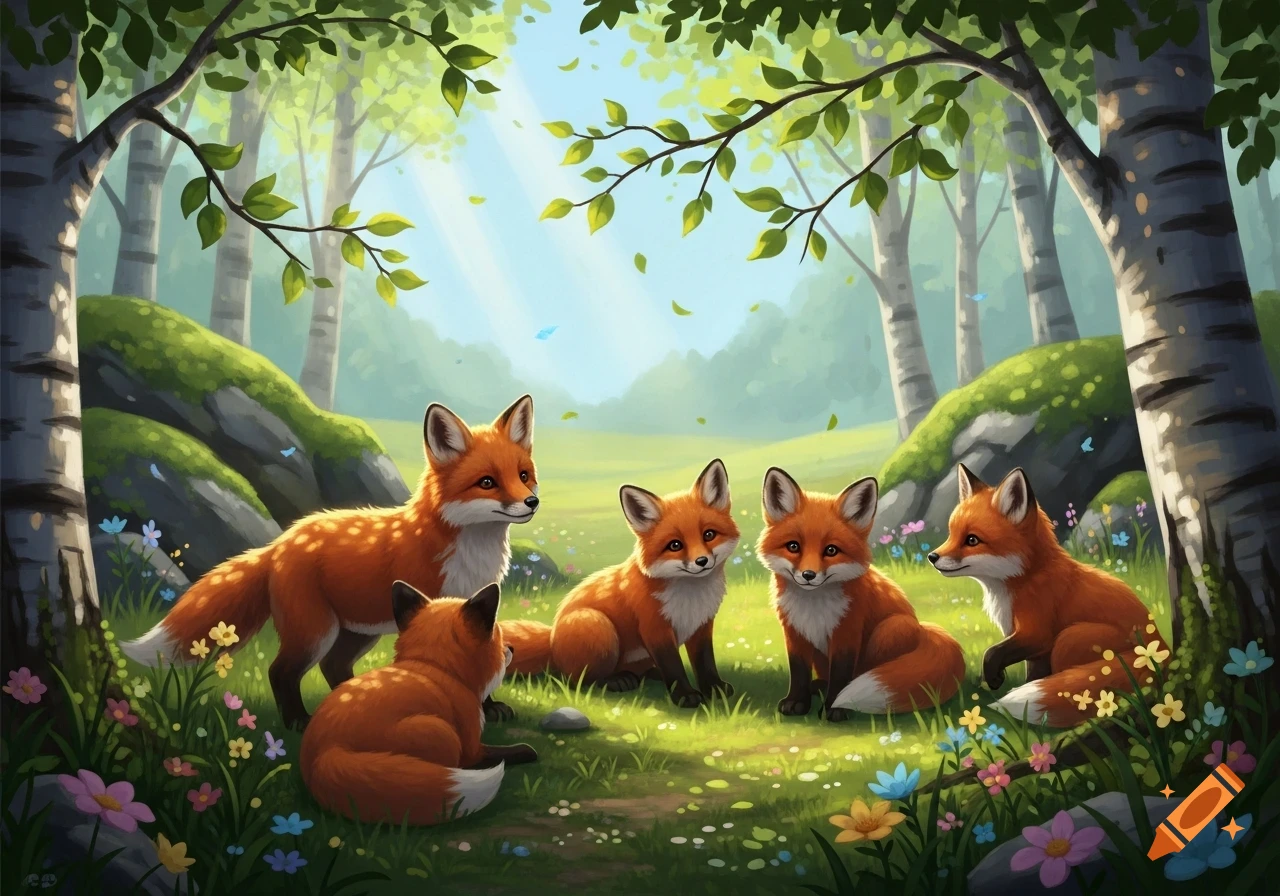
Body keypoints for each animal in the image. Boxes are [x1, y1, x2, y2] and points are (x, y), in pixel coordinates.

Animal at [120, 395, 540, 730]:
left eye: (523, 476)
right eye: (487, 482)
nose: (532, 502)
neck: (470, 555)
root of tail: (281, 541)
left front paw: (488, 707)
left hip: (357, 632)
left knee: (333, 667)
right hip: (315, 631)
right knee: (282, 672)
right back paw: (298, 722)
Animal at [300, 581, 538, 826]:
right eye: (498, 635)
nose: (511, 648)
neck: (434, 665)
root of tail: (326, 752)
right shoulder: (472, 746)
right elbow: (501, 753)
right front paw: (524, 751)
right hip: (440, 730)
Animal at [501, 459, 739, 709]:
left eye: (709, 535)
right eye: (675, 545)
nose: (702, 561)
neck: (690, 598)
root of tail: (552, 640)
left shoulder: (701, 626)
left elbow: (705, 663)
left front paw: (715, 689)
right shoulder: (655, 629)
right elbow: (673, 667)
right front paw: (685, 695)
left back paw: (647, 674)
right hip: (599, 627)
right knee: (577, 680)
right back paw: (616, 680)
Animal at [757, 468, 965, 721]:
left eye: (831, 550)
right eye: (793, 546)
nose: (808, 575)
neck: (813, 606)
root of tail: (923, 629)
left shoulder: (847, 632)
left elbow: (841, 675)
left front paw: (834, 708)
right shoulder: (794, 632)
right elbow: (798, 671)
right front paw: (797, 702)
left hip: (891, 629)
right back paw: (819, 686)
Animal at [928, 464, 1165, 728]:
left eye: (972, 540)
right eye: (951, 534)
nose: (932, 557)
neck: (1024, 579)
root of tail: (1157, 649)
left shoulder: (1038, 634)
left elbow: (992, 652)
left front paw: (995, 679)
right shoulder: (1035, 650)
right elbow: (1032, 674)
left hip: (1068, 638)